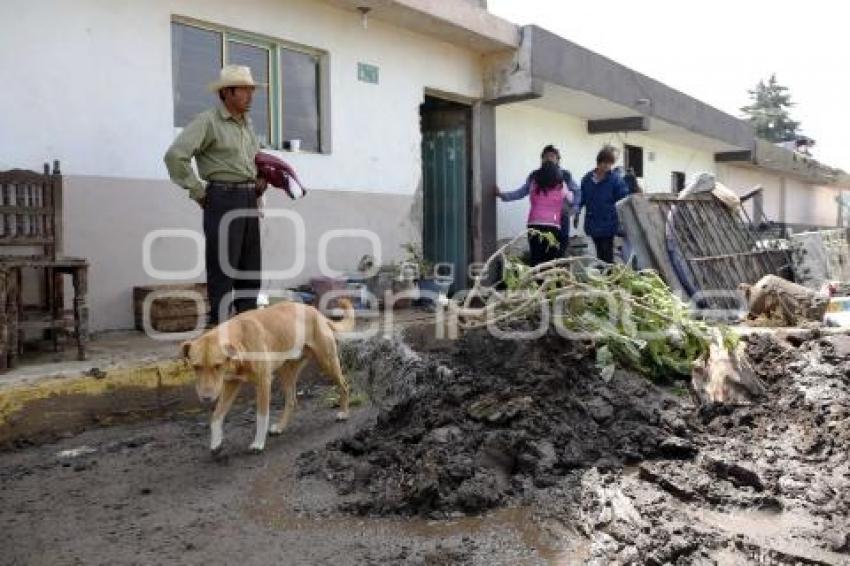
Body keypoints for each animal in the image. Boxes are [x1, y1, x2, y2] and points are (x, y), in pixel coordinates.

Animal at [181, 300, 352, 454]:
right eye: (196, 367)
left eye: (217, 366)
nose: (206, 398)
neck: (242, 340)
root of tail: (315, 311)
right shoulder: (231, 383)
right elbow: (216, 415)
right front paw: (216, 442)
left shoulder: (264, 383)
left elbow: (262, 416)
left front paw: (258, 443)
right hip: (286, 372)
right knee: (291, 400)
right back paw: (281, 427)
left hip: (327, 362)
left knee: (344, 385)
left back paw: (344, 413)